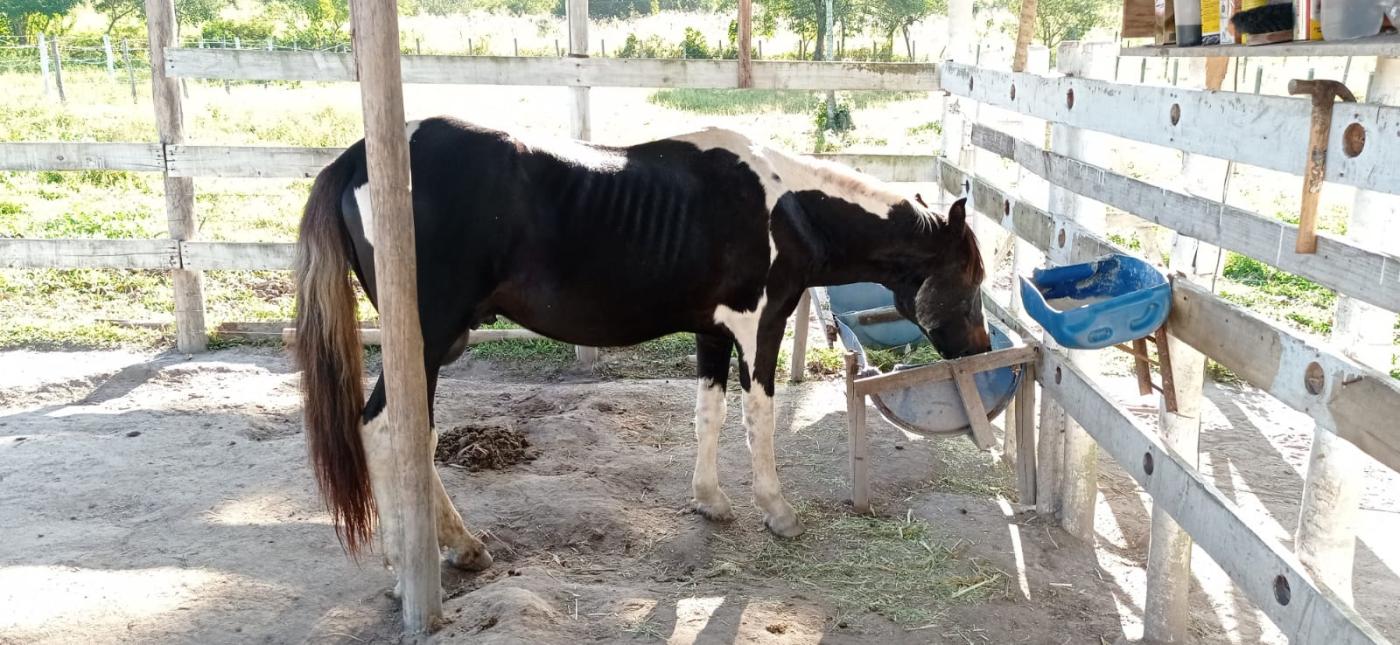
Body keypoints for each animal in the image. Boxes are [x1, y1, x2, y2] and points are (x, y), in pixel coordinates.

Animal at [292, 115, 996, 573]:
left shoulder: (712, 333)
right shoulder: (758, 329)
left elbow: (709, 414)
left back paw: (459, 547)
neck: (787, 207)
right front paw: (776, 511)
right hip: (428, 340)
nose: (979, 348)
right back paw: (407, 558)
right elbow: (759, 418)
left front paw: (711, 502)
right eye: (973, 276)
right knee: (388, 428)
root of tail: (356, 158)